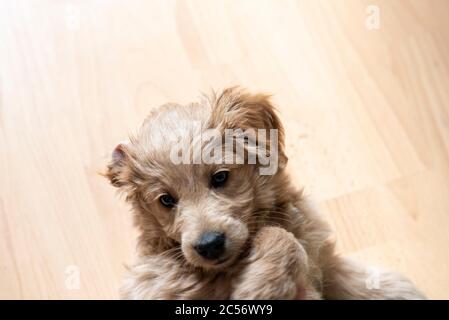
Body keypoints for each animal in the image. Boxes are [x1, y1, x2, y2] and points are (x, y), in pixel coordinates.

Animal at [105, 86, 424, 298]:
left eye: (220, 177)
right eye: (166, 200)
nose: (209, 245)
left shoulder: (320, 253)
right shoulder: (161, 282)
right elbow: (281, 237)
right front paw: (261, 288)